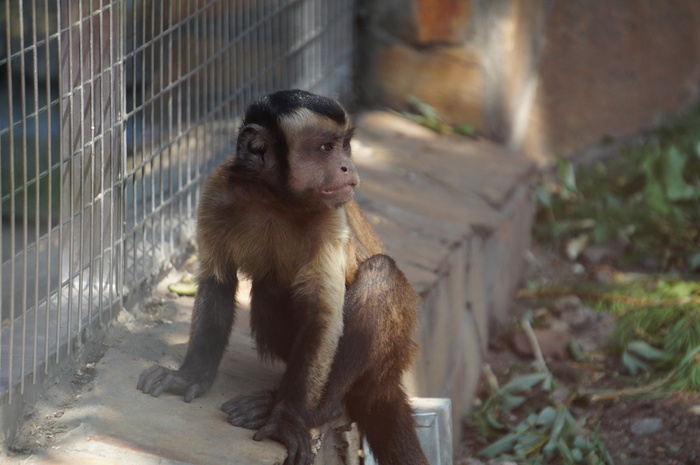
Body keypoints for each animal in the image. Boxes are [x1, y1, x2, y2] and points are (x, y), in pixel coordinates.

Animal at [137, 88, 430, 464]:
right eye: (326, 148)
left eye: (345, 146)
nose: (347, 166)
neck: (276, 197)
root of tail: (391, 378)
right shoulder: (217, 189)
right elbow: (218, 283)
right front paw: (190, 376)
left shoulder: (330, 215)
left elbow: (322, 316)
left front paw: (286, 420)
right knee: (270, 282)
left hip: (391, 353)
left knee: (381, 274)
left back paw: (307, 408)